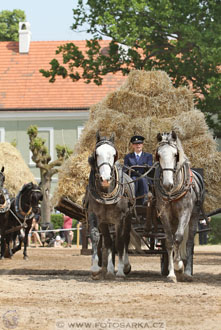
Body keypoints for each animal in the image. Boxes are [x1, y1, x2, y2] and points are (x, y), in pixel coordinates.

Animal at [86, 131, 135, 278]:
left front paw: (120, 270)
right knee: (110, 241)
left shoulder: (120, 219)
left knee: (125, 238)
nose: (106, 179)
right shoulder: (97, 216)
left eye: (114, 154)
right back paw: (109, 268)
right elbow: (99, 238)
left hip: (128, 218)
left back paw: (125, 266)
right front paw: (97, 268)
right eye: (96, 154)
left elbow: (119, 242)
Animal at [154, 131, 205, 282]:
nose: (167, 184)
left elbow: (179, 237)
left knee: (189, 242)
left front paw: (179, 265)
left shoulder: (185, 212)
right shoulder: (164, 214)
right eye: (159, 155)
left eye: (175, 155)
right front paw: (171, 273)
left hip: (194, 216)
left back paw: (187, 272)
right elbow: (170, 241)